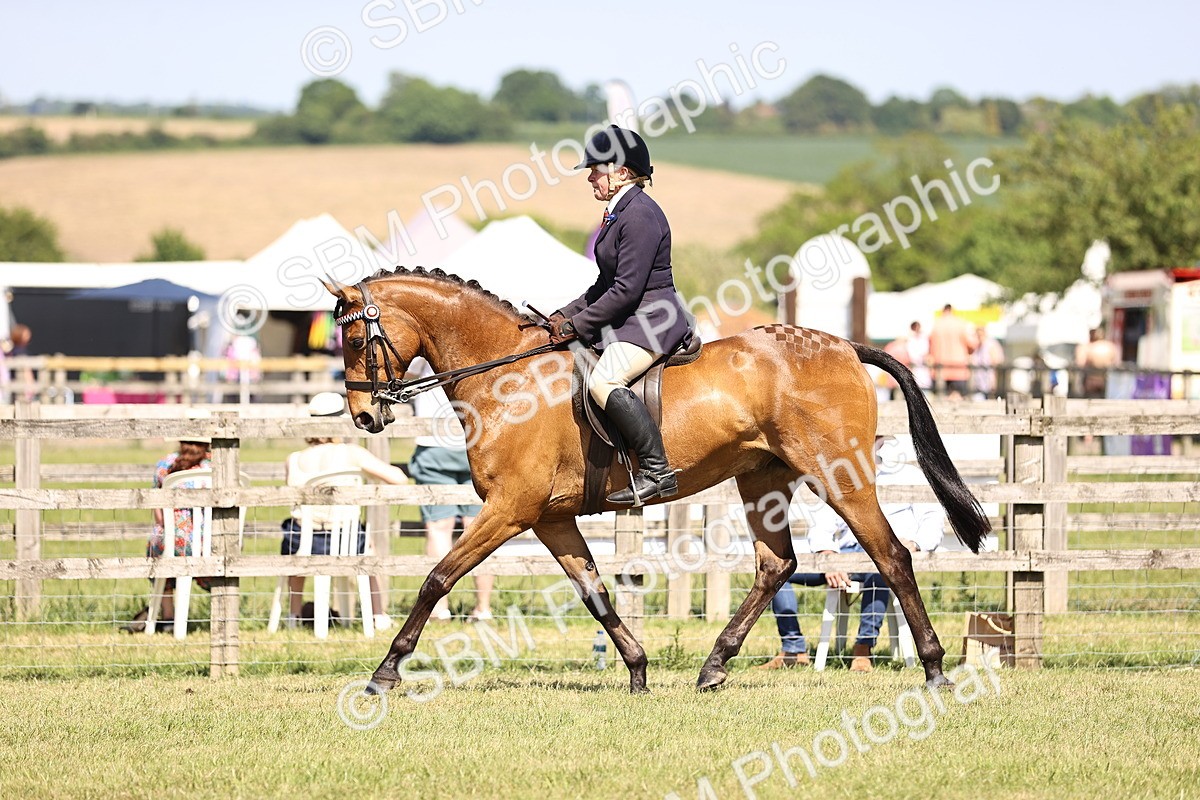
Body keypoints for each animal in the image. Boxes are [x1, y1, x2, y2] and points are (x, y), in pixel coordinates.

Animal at [322, 266, 990, 694]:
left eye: (354, 337)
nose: (364, 416)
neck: (506, 379)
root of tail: (848, 348)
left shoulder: (511, 510)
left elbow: (436, 579)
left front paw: (385, 673)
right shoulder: (550, 517)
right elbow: (595, 593)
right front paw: (639, 670)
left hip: (837, 474)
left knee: (891, 555)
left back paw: (935, 669)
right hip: (762, 479)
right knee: (775, 564)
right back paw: (714, 666)